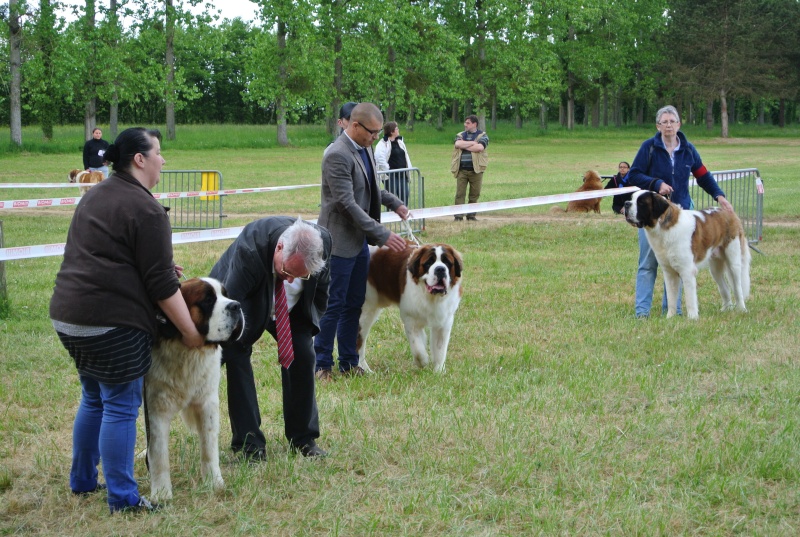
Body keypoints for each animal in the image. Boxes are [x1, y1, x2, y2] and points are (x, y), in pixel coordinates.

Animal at [144, 276, 244, 502]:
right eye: (207, 300)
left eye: (226, 294)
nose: (236, 305)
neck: (187, 352)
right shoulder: (156, 408)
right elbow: (158, 453)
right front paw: (162, 494)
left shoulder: (207, 402)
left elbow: (209, 447)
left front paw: (214, 483)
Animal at [356, 243, 462, 372]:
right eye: (428, 263)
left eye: (447, 263)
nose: (440, 269)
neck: (430, 297)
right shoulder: (411, 319)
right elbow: (417, 348)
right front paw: (422, 362)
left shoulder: (444, 322)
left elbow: (440, 350)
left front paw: (438, 372)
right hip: (365, 311)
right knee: (359, 340)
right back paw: (364, 369)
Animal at [624, 189, 752, 318]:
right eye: (631, 198)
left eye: (641, 203)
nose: (626, 203)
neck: (663, 228)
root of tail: (728, 212)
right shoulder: (669, 272)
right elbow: (671, 298)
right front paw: (670, 317)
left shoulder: (687, 271)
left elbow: (690, 298)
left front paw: (692, 318)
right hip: (715, 268)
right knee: (724, 287)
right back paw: (726, 309)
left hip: (733, 261)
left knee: (738, 287)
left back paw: (742, 309)